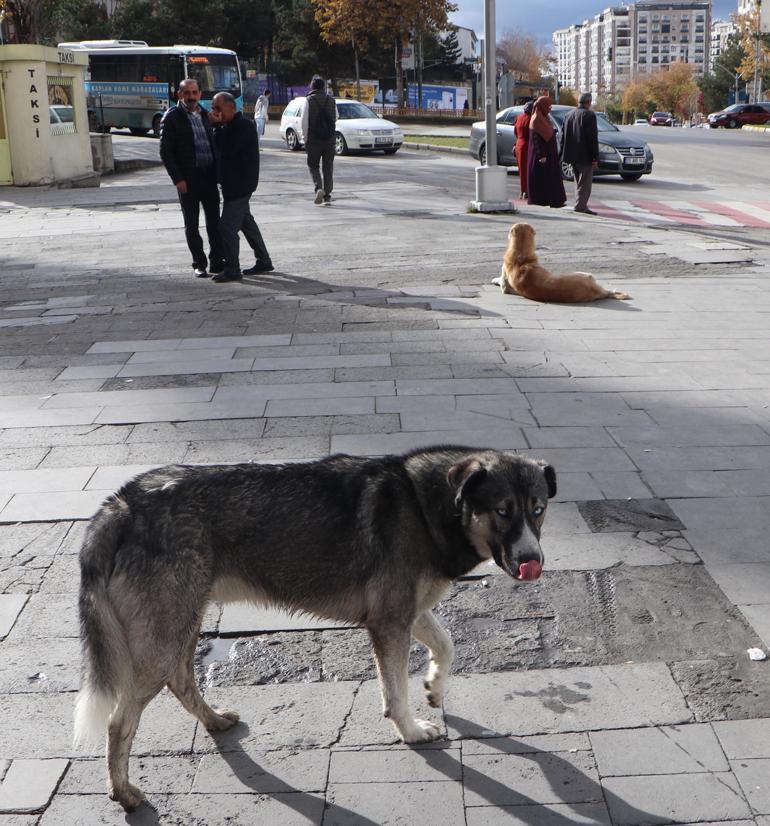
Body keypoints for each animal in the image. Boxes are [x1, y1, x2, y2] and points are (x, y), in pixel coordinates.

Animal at [73, 448, 552, 808]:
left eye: (538, 510)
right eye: (503, 511)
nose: (534, 561)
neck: (423, 506)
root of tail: (120, 504)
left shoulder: (408, 614)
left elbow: (448, 644)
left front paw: (435, 686)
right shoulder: (389, 623)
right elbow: (395, 692)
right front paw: (411, 731)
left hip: (182, 624)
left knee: (182, 678)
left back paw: (214, 722)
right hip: (165, 636)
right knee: (120, 721)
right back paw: (123, 792)